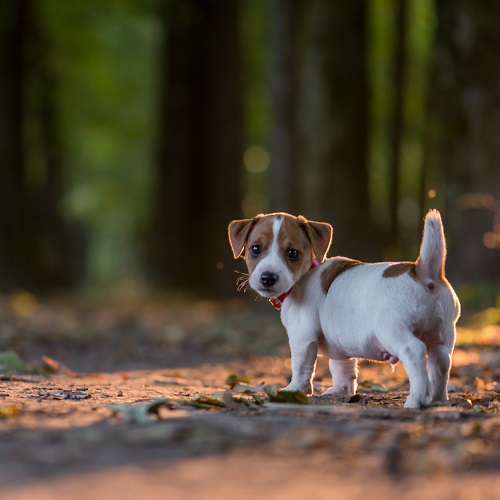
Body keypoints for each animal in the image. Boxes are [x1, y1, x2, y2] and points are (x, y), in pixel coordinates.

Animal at [229, 209, 460, 408]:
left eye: (293, 253)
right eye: (255, 249)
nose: (267, 278)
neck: (306, 275)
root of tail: (423, 273)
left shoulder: (302, 337)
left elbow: (301, 367)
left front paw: (294, 390)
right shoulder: (341, 349)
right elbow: (342, 369)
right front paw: (342, 391)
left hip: (393, 331)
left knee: (415, 351)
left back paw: (417, 399)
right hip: (442, 335)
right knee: (441, 362)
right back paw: (438, 399)